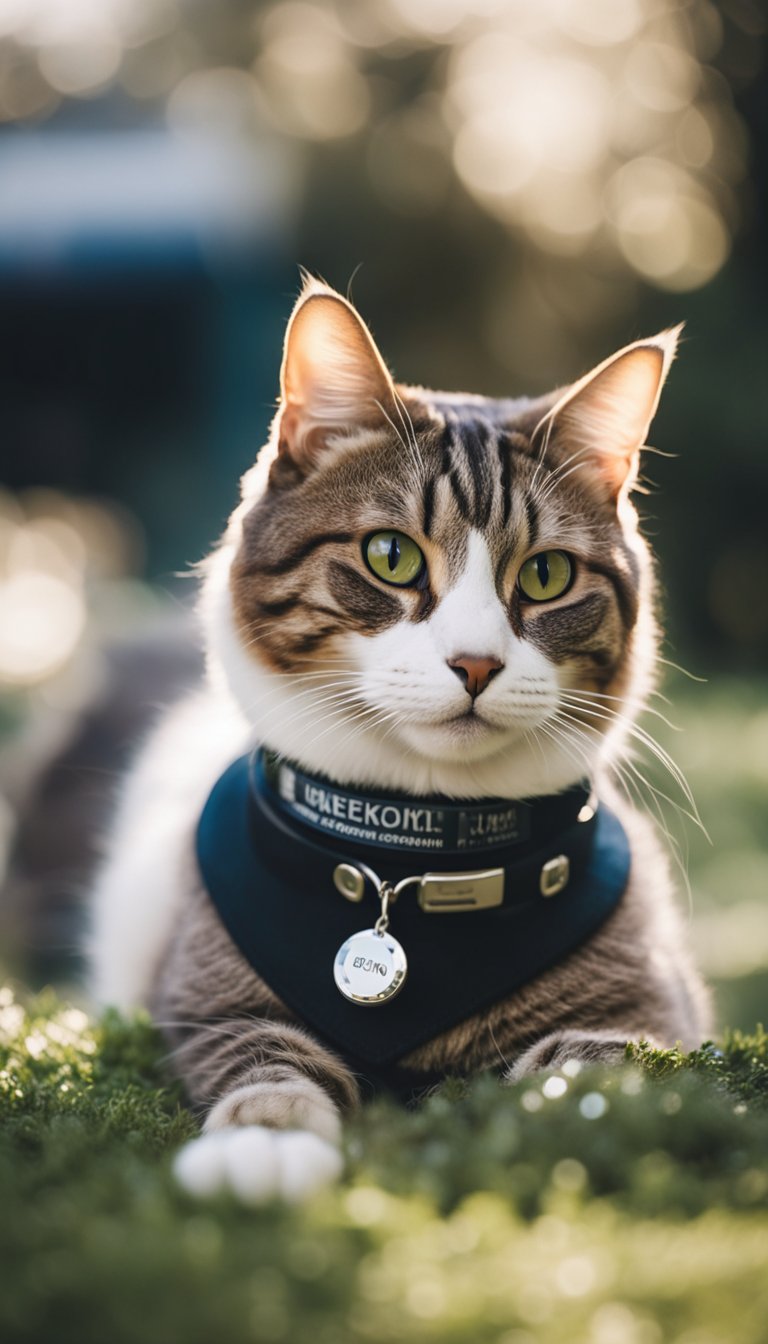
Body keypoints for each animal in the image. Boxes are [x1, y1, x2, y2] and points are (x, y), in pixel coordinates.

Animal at [87, 278, 710, 1204]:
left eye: (547, 575)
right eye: (390, 556)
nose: (478, 663)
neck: (418, 853)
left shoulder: (646, 1005)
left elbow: (606, 1062)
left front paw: (573, 1109)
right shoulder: (210, 993)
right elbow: (264, 1052)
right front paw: (265, 1140)